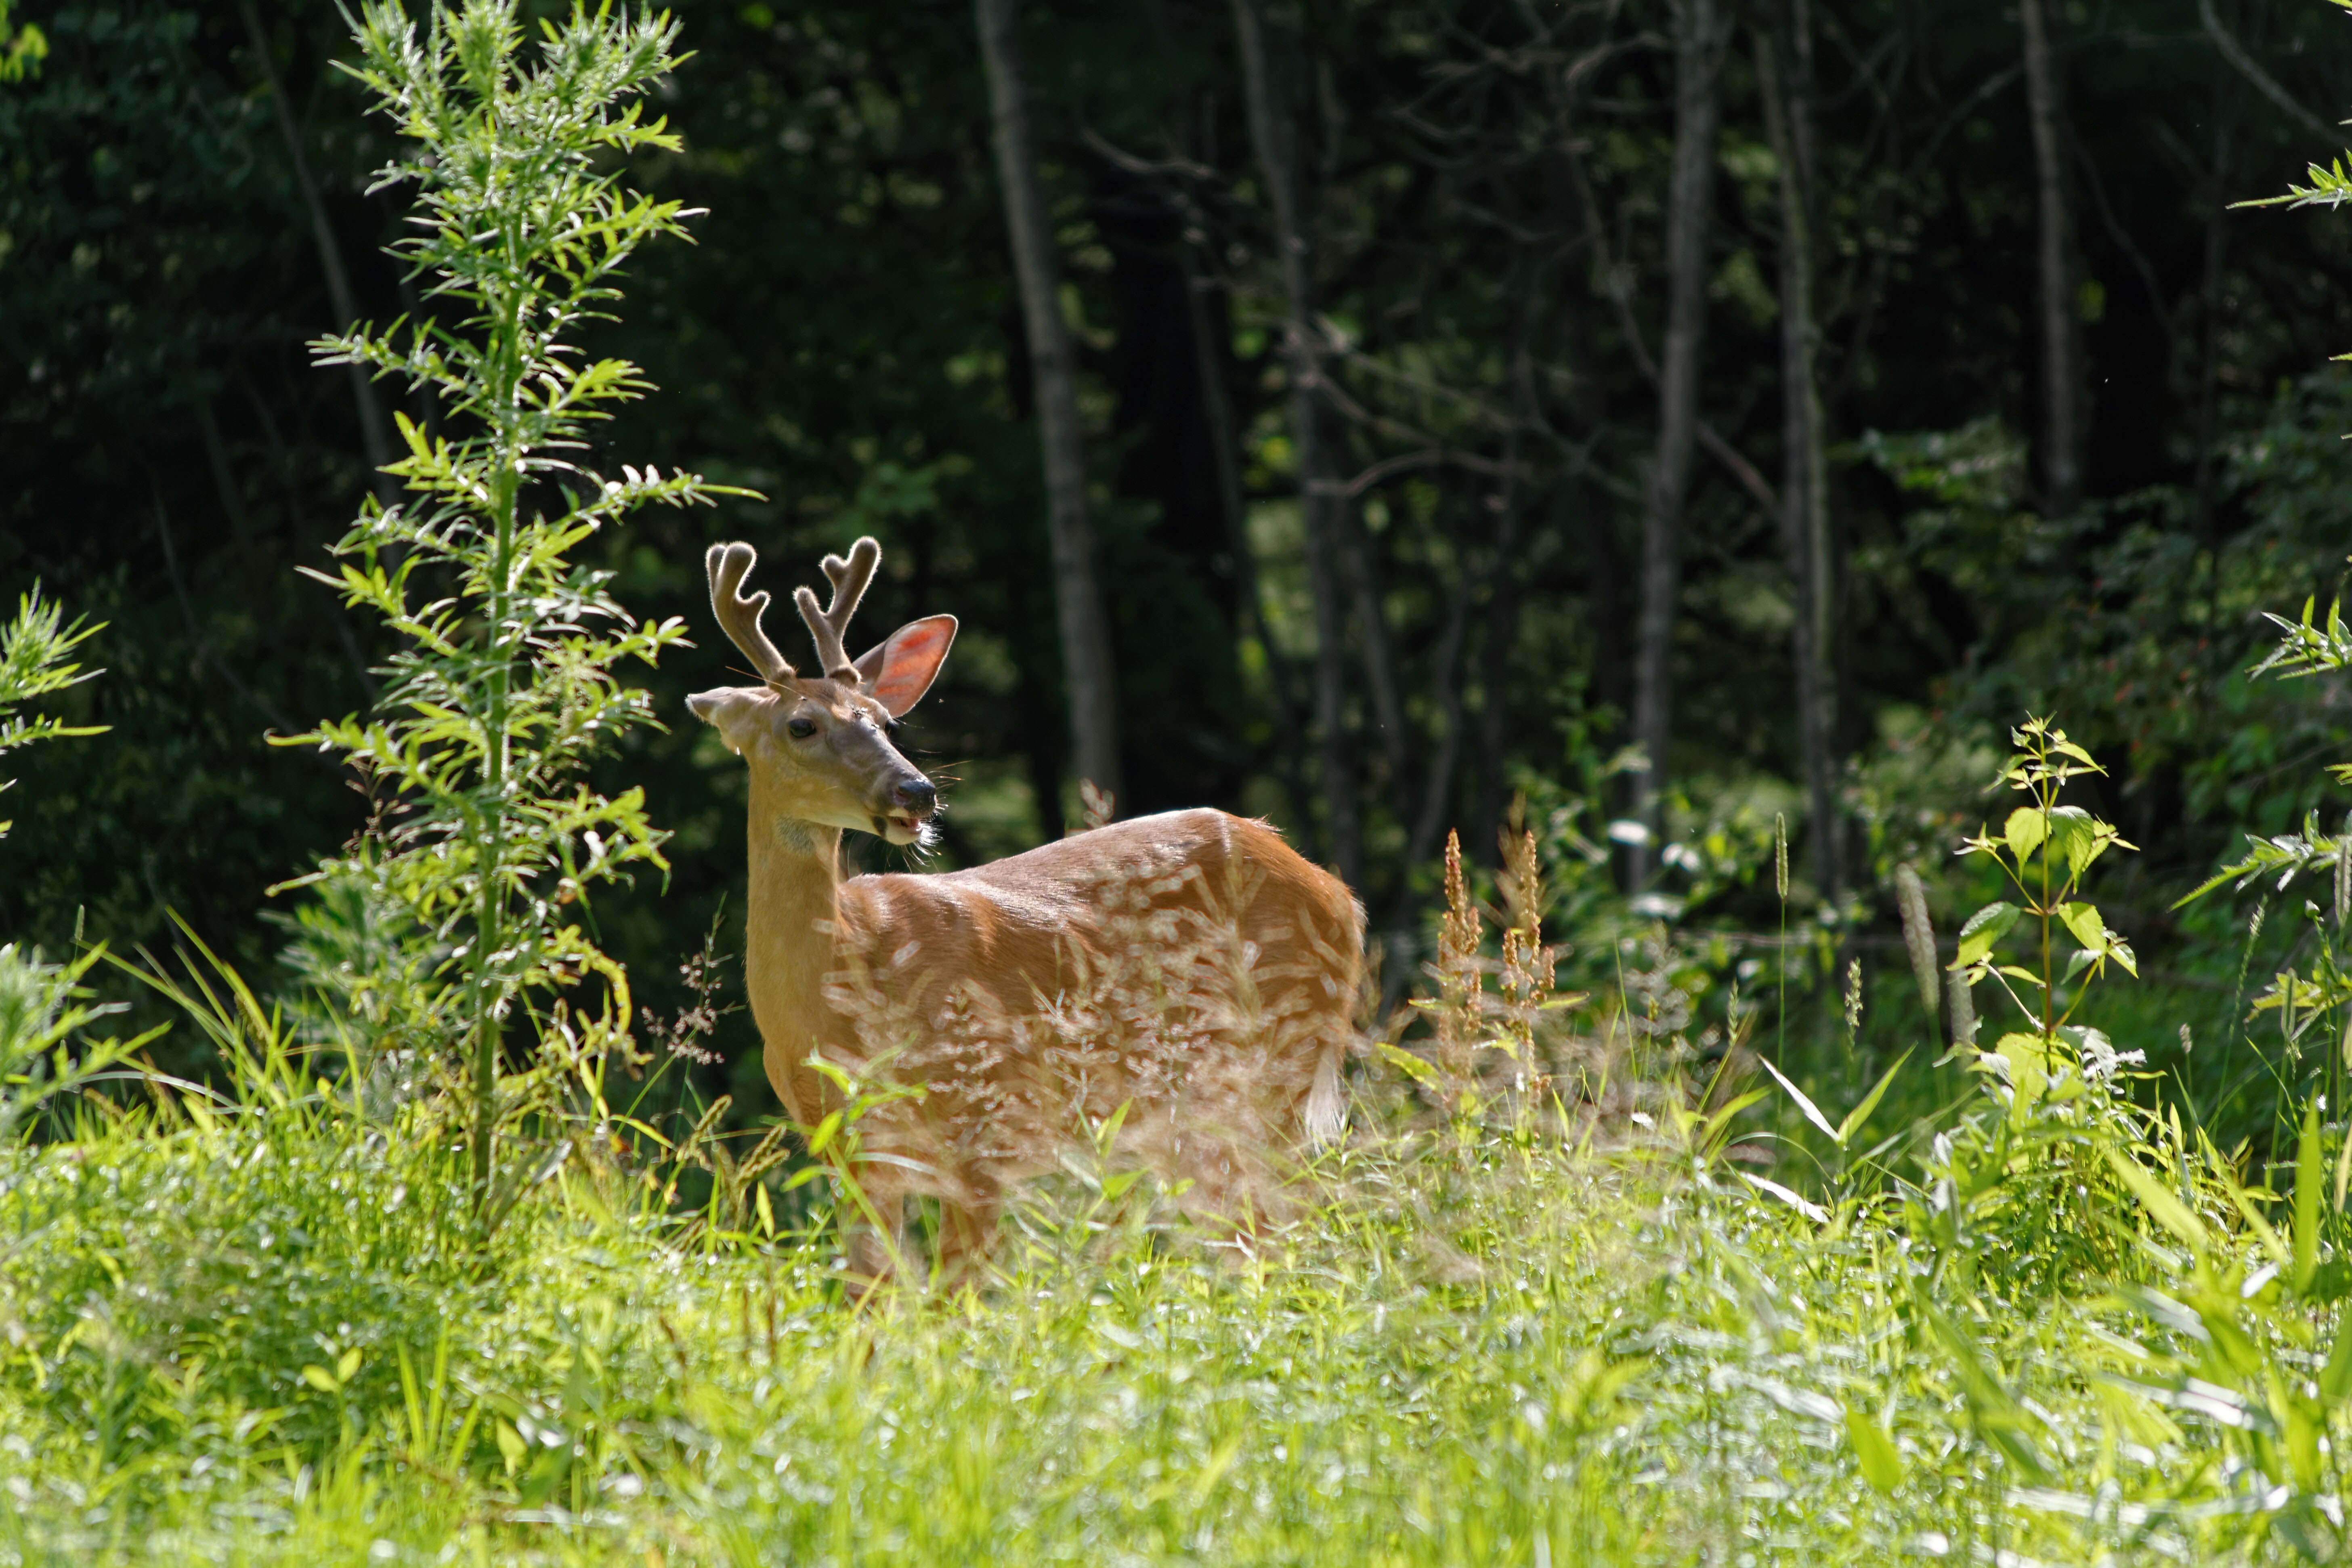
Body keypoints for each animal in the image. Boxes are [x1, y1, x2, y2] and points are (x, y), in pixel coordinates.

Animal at [686, 533, 1364, 1278]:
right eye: (802, 724)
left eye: (888, 721)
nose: (916, 790)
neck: (835, 999)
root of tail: (1339, 894)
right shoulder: (849, 1155)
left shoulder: (979, 1127)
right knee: (1251, 1232)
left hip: (1280, 1053)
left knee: (1300, 1222)